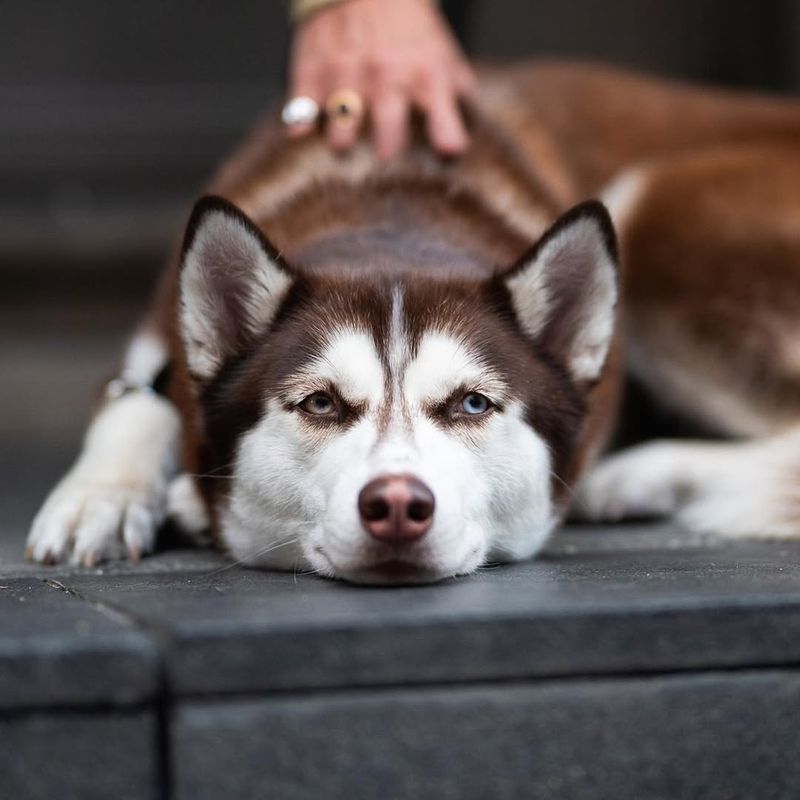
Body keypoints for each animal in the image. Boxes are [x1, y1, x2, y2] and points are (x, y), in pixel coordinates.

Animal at [28, 62, 800, 584]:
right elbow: (140, 400)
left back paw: (639, 475)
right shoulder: (158, 329)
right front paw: (99, 495)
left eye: (472, 404)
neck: (391, 198)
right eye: (320, 403)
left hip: (656, 209)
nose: (397, 505)